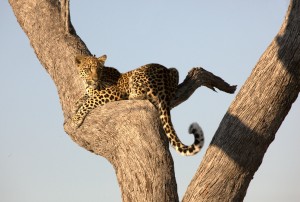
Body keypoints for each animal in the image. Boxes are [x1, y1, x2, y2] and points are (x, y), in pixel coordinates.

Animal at [72, 54, 204, 156]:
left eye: (99, 70)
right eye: (88, 69)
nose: (95, 79)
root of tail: (164, 80)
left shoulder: (113, 92)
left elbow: (90, 100)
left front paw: (75, 119)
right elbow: (84, 97)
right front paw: (75, 106)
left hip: (137, 74)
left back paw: (132, 96)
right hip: (173, 70)